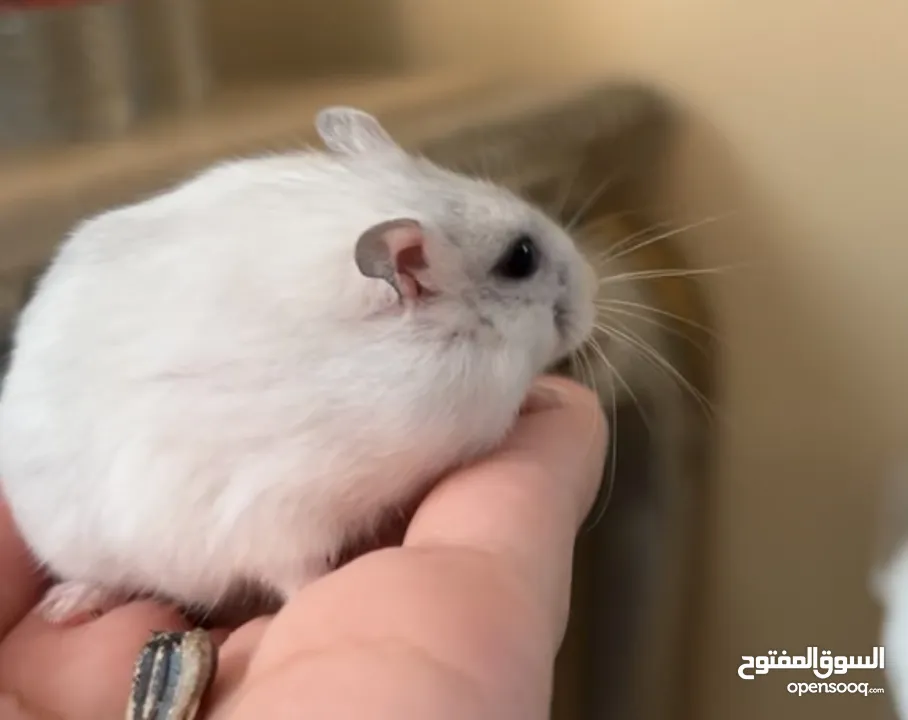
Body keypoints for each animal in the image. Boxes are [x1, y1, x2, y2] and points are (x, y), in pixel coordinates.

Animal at [0, 107, 604, 624]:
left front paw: (545, 396)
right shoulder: (273, 507)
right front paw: (330, 588)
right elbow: (294, 571)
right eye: (520, 258)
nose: (593, 295)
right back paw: (68, 606)